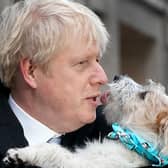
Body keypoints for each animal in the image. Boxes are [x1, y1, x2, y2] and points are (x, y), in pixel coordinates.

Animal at [2, 76, 168, 167]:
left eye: (144, 95)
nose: (117, 76)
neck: (135, 141)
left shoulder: (83, 164)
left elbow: (55, 151)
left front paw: (21, 154)